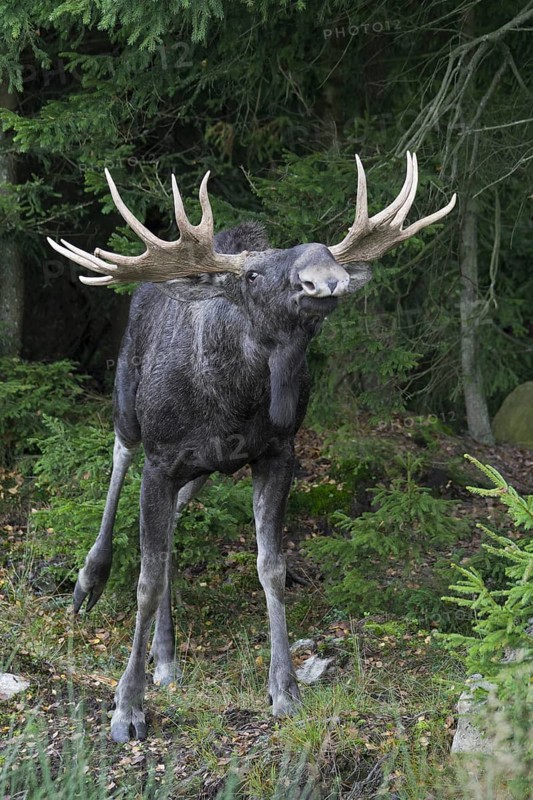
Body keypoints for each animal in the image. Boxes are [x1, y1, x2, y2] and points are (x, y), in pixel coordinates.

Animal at [48, 153, 455, 742]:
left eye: (326, 250)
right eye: (253, 274)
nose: (325, 277)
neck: (232, 400)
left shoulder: (278, 453)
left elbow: (271, 567)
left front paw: (284, 690)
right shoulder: (161, 460)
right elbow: (146, 578)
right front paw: (127, 708)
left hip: (200, 470)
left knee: (174, 528)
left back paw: (166, 657)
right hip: (128, 403)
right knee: (120, 459)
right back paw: (89, 580)